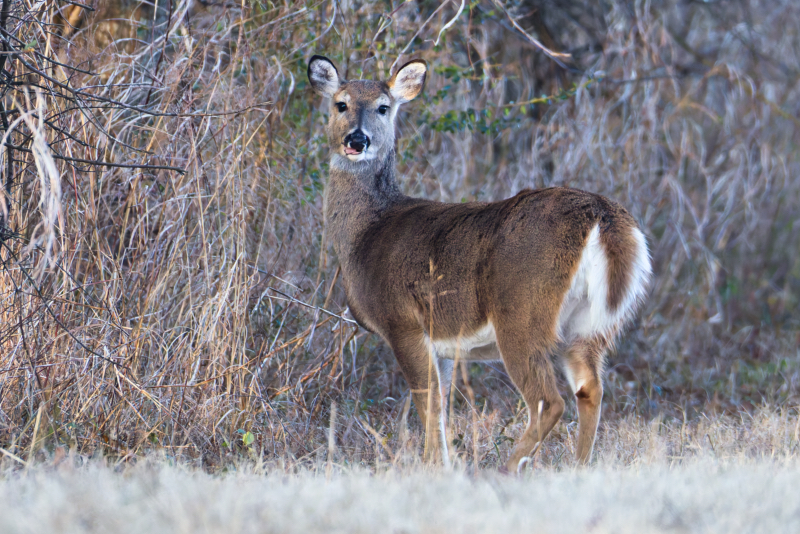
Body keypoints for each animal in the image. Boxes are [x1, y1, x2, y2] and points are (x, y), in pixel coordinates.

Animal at [306, 55, 648, 474]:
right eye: (341, 104)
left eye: (383, 108)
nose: (357, 140)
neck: (367, 233)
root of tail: (602, 215)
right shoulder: (442, 344)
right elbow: (441, 405)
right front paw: (440, 464)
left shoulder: (403, 322)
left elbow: (427, 403)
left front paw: (433, 467)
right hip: (589, 327)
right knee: (590, 390)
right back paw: (578, 468)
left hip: (522, 311)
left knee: (548, 401)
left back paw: (506, 469)